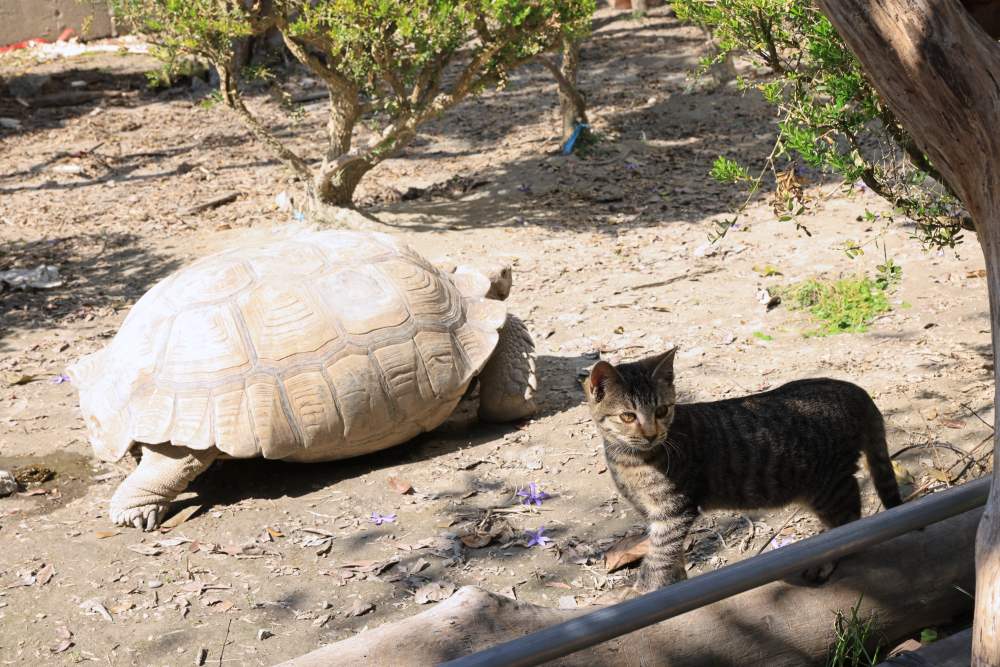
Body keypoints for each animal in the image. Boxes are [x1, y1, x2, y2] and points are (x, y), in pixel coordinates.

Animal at [584, 352, 904, 592]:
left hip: (829, 487)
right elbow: (671, 556)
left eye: (662, 411)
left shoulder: (673, 511)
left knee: (850, 519)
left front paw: (646, 589)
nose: (651, 434)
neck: (629, 460)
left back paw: (825, 559)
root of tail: (851, 389)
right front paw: (676, 583)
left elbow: (659, 557)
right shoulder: (654, 515)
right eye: (628, 416)